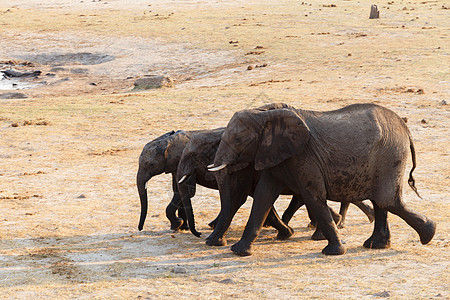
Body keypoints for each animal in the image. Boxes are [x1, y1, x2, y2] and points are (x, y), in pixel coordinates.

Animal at [209, 102, 438, 255]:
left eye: (239, 139)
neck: (265, 114)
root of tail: (406, 128)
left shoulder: (304, 156)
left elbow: (313, 197)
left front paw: (334, 251)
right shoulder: (275, 154)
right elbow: (263, 197)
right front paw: (239, 251)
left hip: (390, 154)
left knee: (386, 200)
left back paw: (429, 233)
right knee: (382, 202)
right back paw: (378, 245)